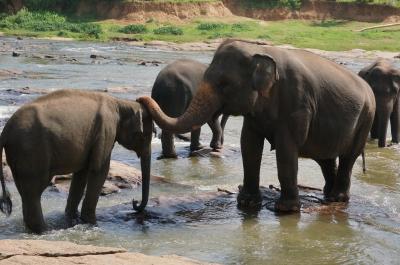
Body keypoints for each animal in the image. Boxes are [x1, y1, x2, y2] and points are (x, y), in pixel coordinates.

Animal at [0, 89, 153, 233]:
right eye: (145, 136)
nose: (134, 202)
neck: (120, 103)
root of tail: (5, 131)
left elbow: (81, 174)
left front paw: (73, 218)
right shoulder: (106, 131)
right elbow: (99, 170)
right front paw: (92, 223)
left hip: (20, 155)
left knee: (25, 191)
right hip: (31, 150)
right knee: (34, 191)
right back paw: (45, 231)